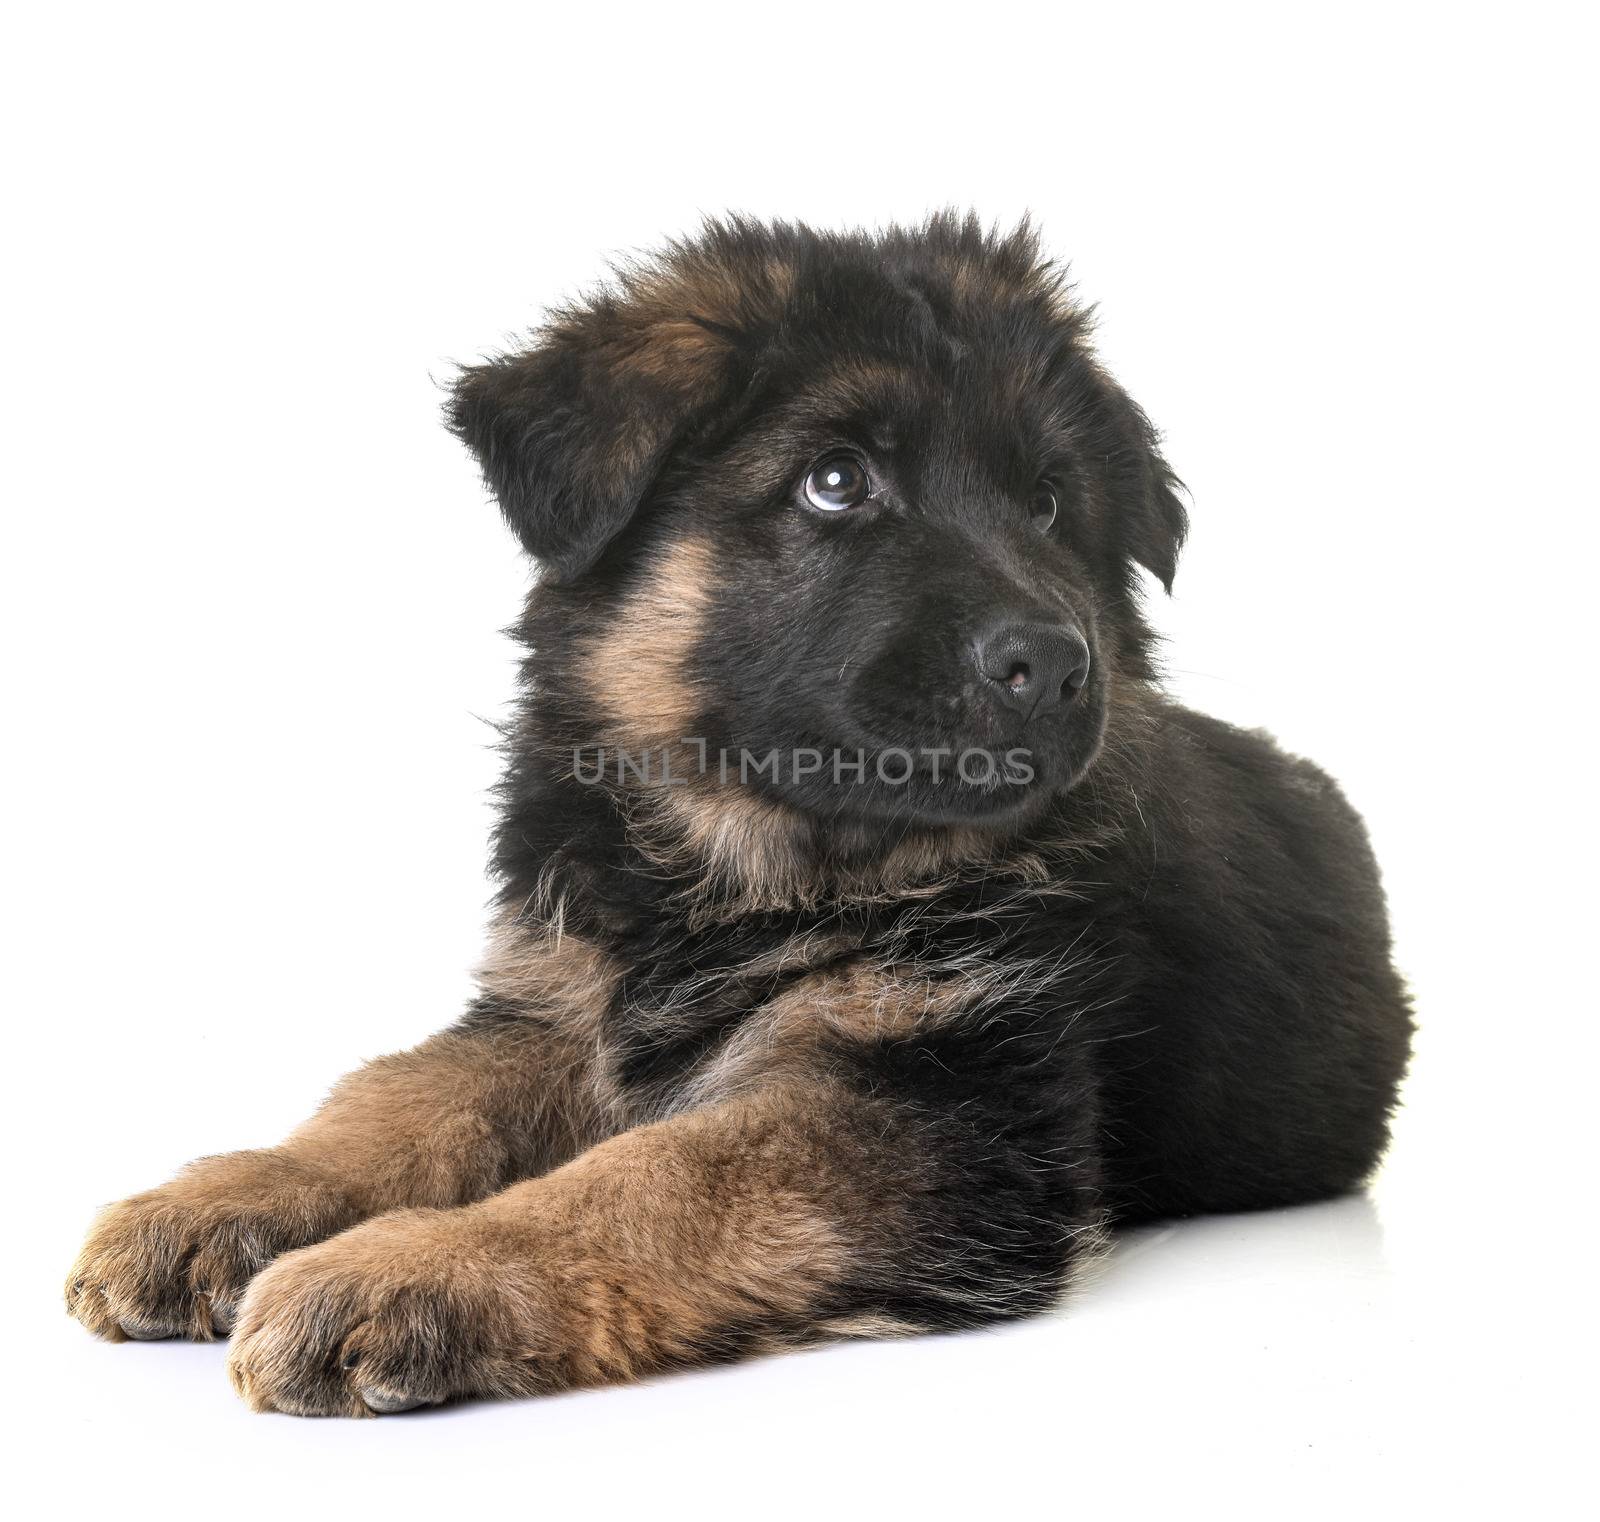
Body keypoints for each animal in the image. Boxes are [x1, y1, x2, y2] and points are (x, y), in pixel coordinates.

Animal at [62, 214, 1414, 1414]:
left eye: (1047, 503)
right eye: (835, 481)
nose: (1053, 663)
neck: (747, 858)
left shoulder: (944, 1106)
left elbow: (650, 1175)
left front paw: (409, 1266)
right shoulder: (556, 1004)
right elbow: (396, 1094)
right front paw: (230, 1196)